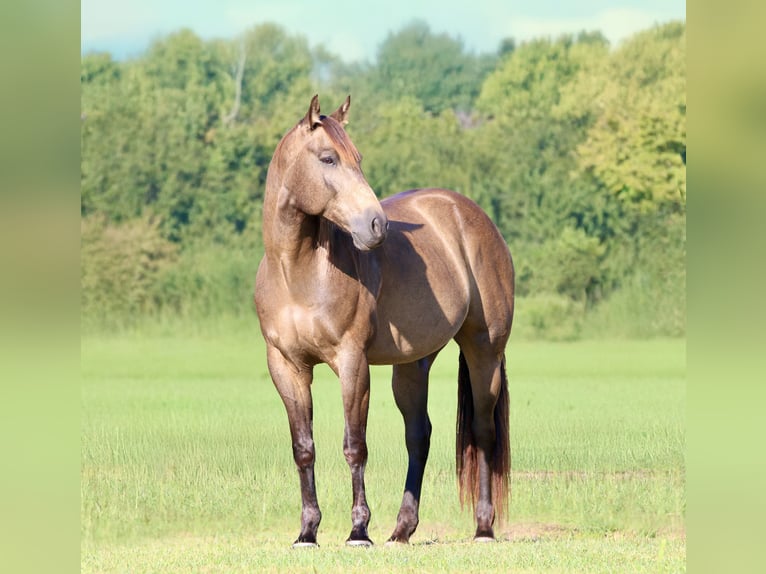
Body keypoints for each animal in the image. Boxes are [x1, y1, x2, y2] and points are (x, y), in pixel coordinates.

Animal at [254, 95, 514, 547]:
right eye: (328, 158)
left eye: (357, 158)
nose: (377, 225)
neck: (297, 272)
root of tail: (472, 215)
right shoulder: (286, 366)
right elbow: (304, 448)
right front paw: (307, 531)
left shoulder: (352, 363)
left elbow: (354, 445)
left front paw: (358, 530)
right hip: (412, 364)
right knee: (419, 436)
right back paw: (402, 529)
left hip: (484, 350)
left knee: (483, 433)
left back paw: (483, 527)